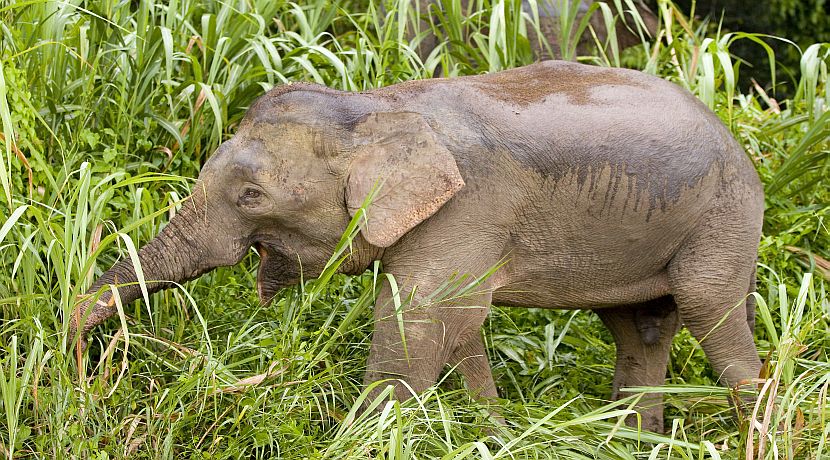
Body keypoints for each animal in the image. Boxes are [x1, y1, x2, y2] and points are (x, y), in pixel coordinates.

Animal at [71, 60, 763, 433]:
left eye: (251, 195)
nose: (84, 363)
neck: (376, 107)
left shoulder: (469, 208)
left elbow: (418, 322)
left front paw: (362, 437)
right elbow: (458, 327)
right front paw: (494, 432)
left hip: (726, 215)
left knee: (710, 309)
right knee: (639, 328)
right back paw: (633, 441)